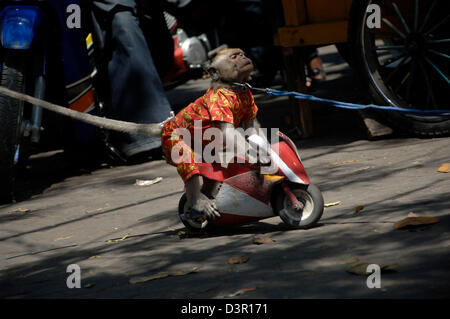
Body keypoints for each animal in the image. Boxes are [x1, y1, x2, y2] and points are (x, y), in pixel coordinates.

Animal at [0, 48, 268, 222]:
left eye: (240, 53)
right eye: (234, 57)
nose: (245, 58)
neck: (232, 86)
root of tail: (165, 124)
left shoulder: (246, 97)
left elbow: (251, 127)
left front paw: (264, 151)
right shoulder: (219, 102)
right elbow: (230, 132)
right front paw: (256, 156)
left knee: (212, 163)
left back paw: (207, 194)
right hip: (171, 141)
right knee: (187, 161)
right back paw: (196, 201)